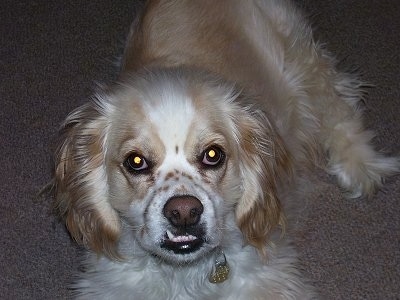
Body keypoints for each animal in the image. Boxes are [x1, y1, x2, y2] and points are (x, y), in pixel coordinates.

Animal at [53, 0, 396, 298]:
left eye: (213, 155)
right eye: (135, 161)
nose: (184, 212)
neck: (183, 276)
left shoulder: (268, 279)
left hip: (300, 61)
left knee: (338, 104)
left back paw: (360, 165)